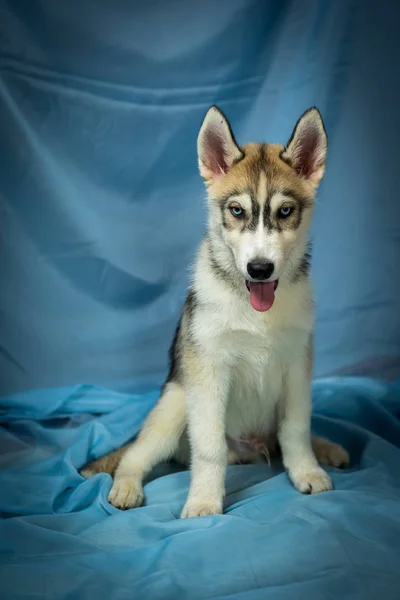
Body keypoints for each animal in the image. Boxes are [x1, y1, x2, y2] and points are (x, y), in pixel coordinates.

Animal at [82, 105, 350, 516]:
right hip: (176, 404)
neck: (256, 311)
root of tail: (251, 450)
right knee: (134, 456)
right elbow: (209, 448)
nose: (260, 269)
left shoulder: (296, 367)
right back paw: (126, 488)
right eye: (236, 210)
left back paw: (327, 449)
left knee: (285, 436)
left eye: (285, 211)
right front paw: (205, 501)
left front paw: (307, 470)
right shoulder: (209, 369)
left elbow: (296, 430)